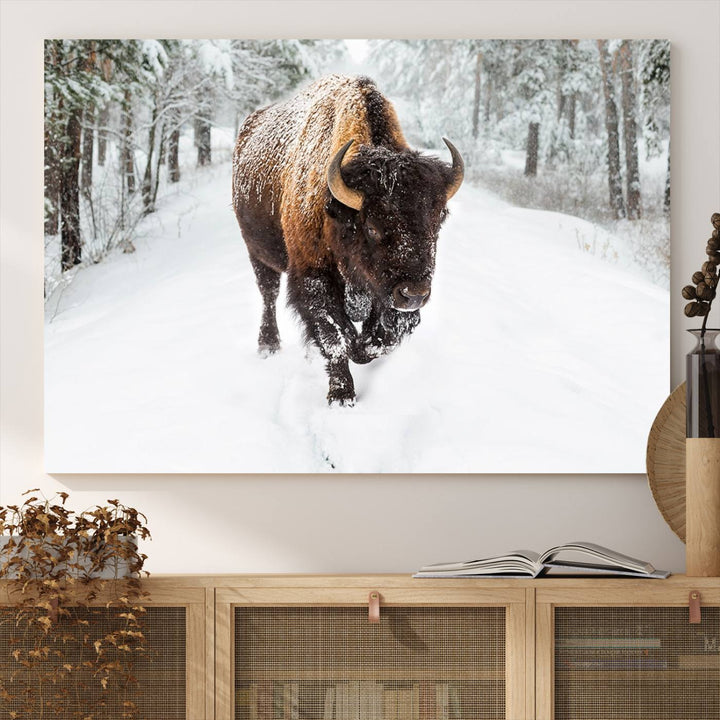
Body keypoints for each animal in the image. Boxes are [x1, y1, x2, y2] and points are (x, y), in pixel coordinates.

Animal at [233, 76, 464, 408]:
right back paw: (268, 345)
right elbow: (335, 337)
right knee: (268, 293)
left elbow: (382, 338)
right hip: (258, 252)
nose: (414, 295)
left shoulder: (383, 293)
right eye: (372, 227)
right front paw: (341, 395)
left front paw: (362, 348)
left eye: (438, 220)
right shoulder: (314, 278)